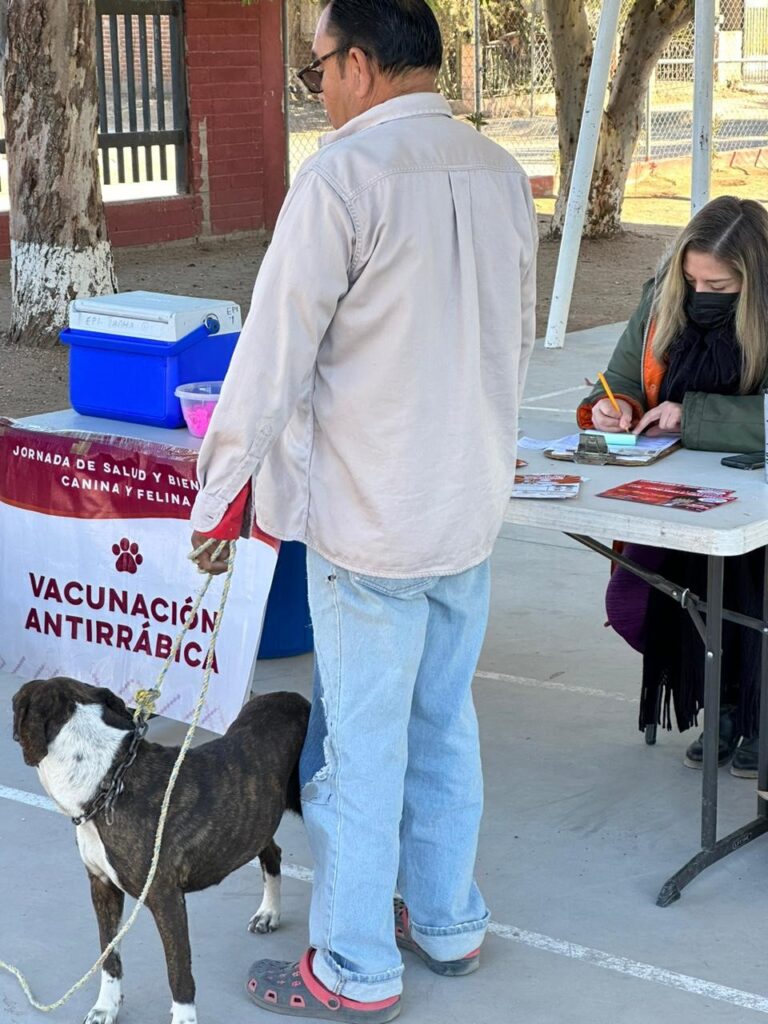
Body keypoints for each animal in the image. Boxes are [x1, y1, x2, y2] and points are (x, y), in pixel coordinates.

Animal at [11, 679, 309, 1024]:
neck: (109, 780)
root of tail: (293, 696)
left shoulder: (166, 899)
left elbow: (178, 971)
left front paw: (183, 1018)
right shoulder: (102, 886)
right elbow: (108, 955)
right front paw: (106, 1006)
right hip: (256, 819)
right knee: (271, 852)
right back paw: (268, 913)